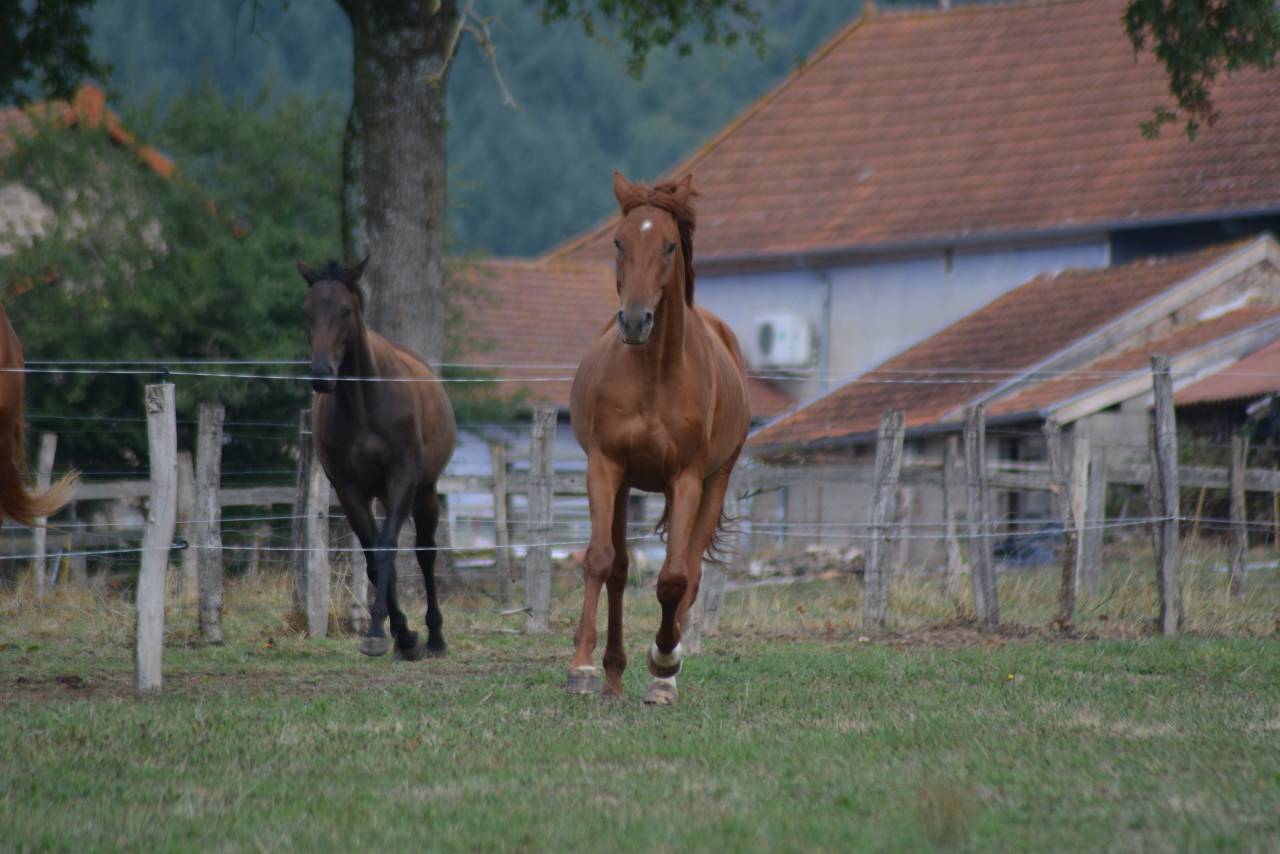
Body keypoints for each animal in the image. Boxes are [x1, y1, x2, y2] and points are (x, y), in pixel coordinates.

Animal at [299, 258, 457, 660]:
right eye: (306, 311)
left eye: (345, 310)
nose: (321, 375)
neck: (364, 405)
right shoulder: (349, 490)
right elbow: (373, 558)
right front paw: (398, 633)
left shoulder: (402, 479)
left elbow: (387, 550)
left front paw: (379, 633)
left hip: (425, 492)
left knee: (426, 553)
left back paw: (435, 636)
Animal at [567, 172, 750, 705]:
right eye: (618, 241)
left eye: (669, 244)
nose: (634, 321)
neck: (654, 377)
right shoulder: (606, 465)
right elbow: (601, 561)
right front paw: (581, 667)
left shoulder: (686, 478)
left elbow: (673, 579)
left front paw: (664, 661)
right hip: (626, 483)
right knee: (620, 570)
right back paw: (611, 677)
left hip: (715, 482)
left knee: (690, 573)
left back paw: (663, 674)